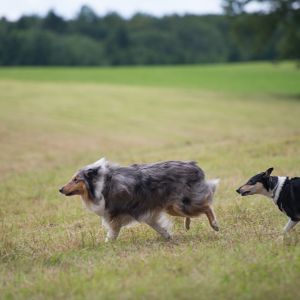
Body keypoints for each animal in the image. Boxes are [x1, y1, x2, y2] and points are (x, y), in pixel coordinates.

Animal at [59, 158, 218, 243]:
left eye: (76, 179)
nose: (60, 189)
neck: (100, 184)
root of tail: (193, 165)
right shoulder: (148, 214)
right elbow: (159, 227)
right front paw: (168, 236)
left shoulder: (115, 217)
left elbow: (112, 234)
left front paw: (105, 245)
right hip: (173, 207)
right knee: (195, 211)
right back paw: (187, 224)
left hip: (181, 205)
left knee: (207, 207)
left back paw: (215, 225)